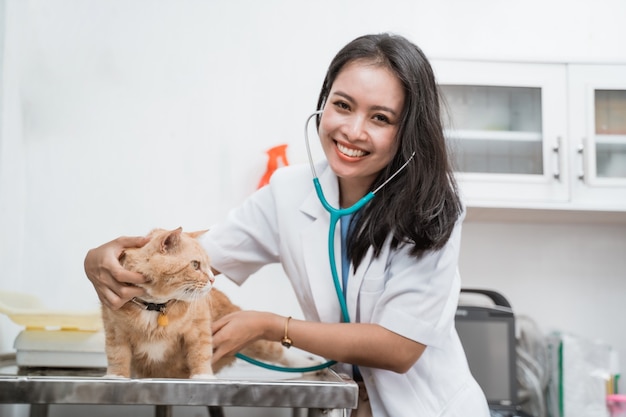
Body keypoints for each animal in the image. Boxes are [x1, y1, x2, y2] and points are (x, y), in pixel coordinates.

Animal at [103, 226, 316, 378]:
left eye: (208, 265)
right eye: (195, 265)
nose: (213, 279)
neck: (154, 308)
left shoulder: (199, 329)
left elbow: (200, 353)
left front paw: (203, 377)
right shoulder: (115, 332)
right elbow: (117, 356)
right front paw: (116, 377)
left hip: (255, 340)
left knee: (280, 352)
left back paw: (311, 365)